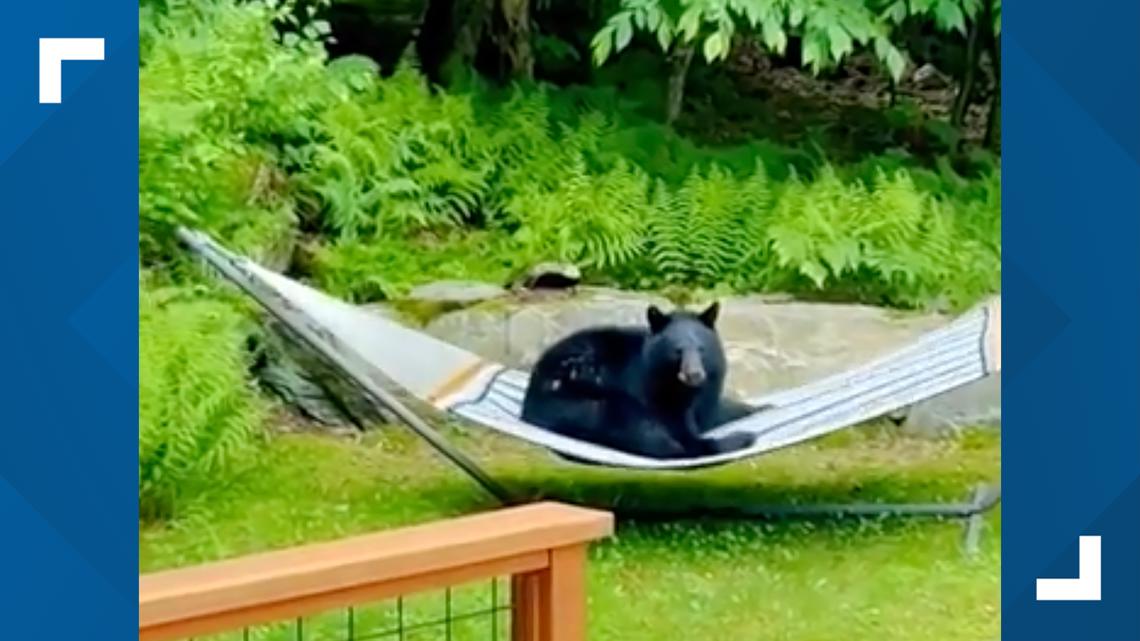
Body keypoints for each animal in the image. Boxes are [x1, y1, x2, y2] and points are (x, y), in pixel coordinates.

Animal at [519, 302, 763, 460]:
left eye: (701, 349)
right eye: (678, 351)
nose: (695, 374)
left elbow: (718, 410)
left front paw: (758, 408)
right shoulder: (651, 389)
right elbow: (677, 427)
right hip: (587, 401)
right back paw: (742, 438)